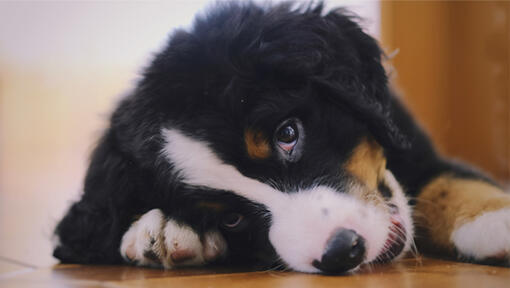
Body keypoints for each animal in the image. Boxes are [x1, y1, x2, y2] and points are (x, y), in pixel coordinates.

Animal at [52, 1, 510, 274]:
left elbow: (451, 185)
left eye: (287, 134)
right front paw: (162, 227)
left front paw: (496, 220)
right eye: (230, 218)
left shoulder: (418, 149)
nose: (342, 251)